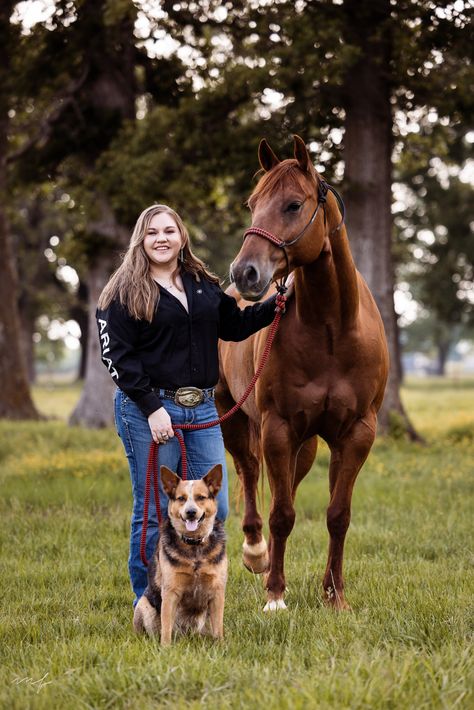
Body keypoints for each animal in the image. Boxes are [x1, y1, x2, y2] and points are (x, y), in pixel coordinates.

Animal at [133, 464, 228, 648]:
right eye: (181, 498)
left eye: (200, 497)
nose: (191, 512)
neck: (194, 545)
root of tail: (187, 635)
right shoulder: (170, 592)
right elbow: (166, 627)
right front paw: (165, 649)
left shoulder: (217, 592)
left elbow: (218, 627)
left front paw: (220, 646)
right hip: (143, 604)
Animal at [218, 138, 388, 612]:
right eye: (252, 204)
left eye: (294, 204)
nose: (246, 272)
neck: (331, 328)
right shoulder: (276, 428)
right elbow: (281, 514)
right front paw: (275, 595)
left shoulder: (356, 434)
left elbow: (337, 515)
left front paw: (335, 595)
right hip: (234, 418)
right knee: (251, 479)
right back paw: (257, 558)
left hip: (307, 445)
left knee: (286, 486)